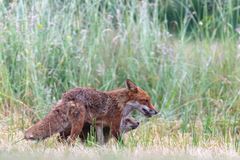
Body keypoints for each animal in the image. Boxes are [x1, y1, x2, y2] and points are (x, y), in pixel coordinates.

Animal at [24, 79, 158, 143]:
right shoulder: (114, 127)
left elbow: (99, 141)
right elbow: (121, 144)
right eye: (146, 100)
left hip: (68, 126)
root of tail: (67, 95)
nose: (156, 111)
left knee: (61, 139)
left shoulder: (99, 125)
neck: (121, 104)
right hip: (77, 125)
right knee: (70, 141)